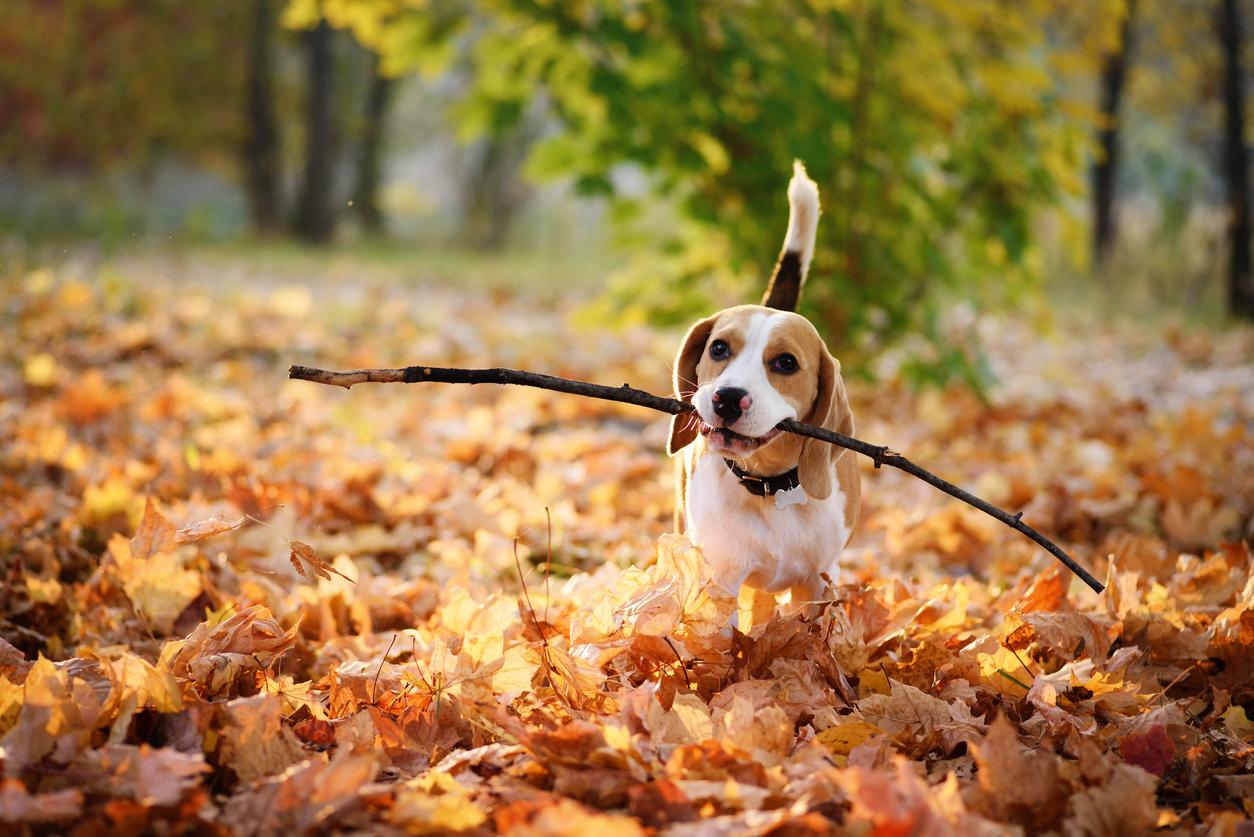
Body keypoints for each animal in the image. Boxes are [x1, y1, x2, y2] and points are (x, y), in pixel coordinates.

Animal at [667, 161, 862, 614]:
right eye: (719, 348)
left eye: (786, 363)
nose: (727, 398)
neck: (770, 485)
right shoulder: (721, 578)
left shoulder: (818, 583)